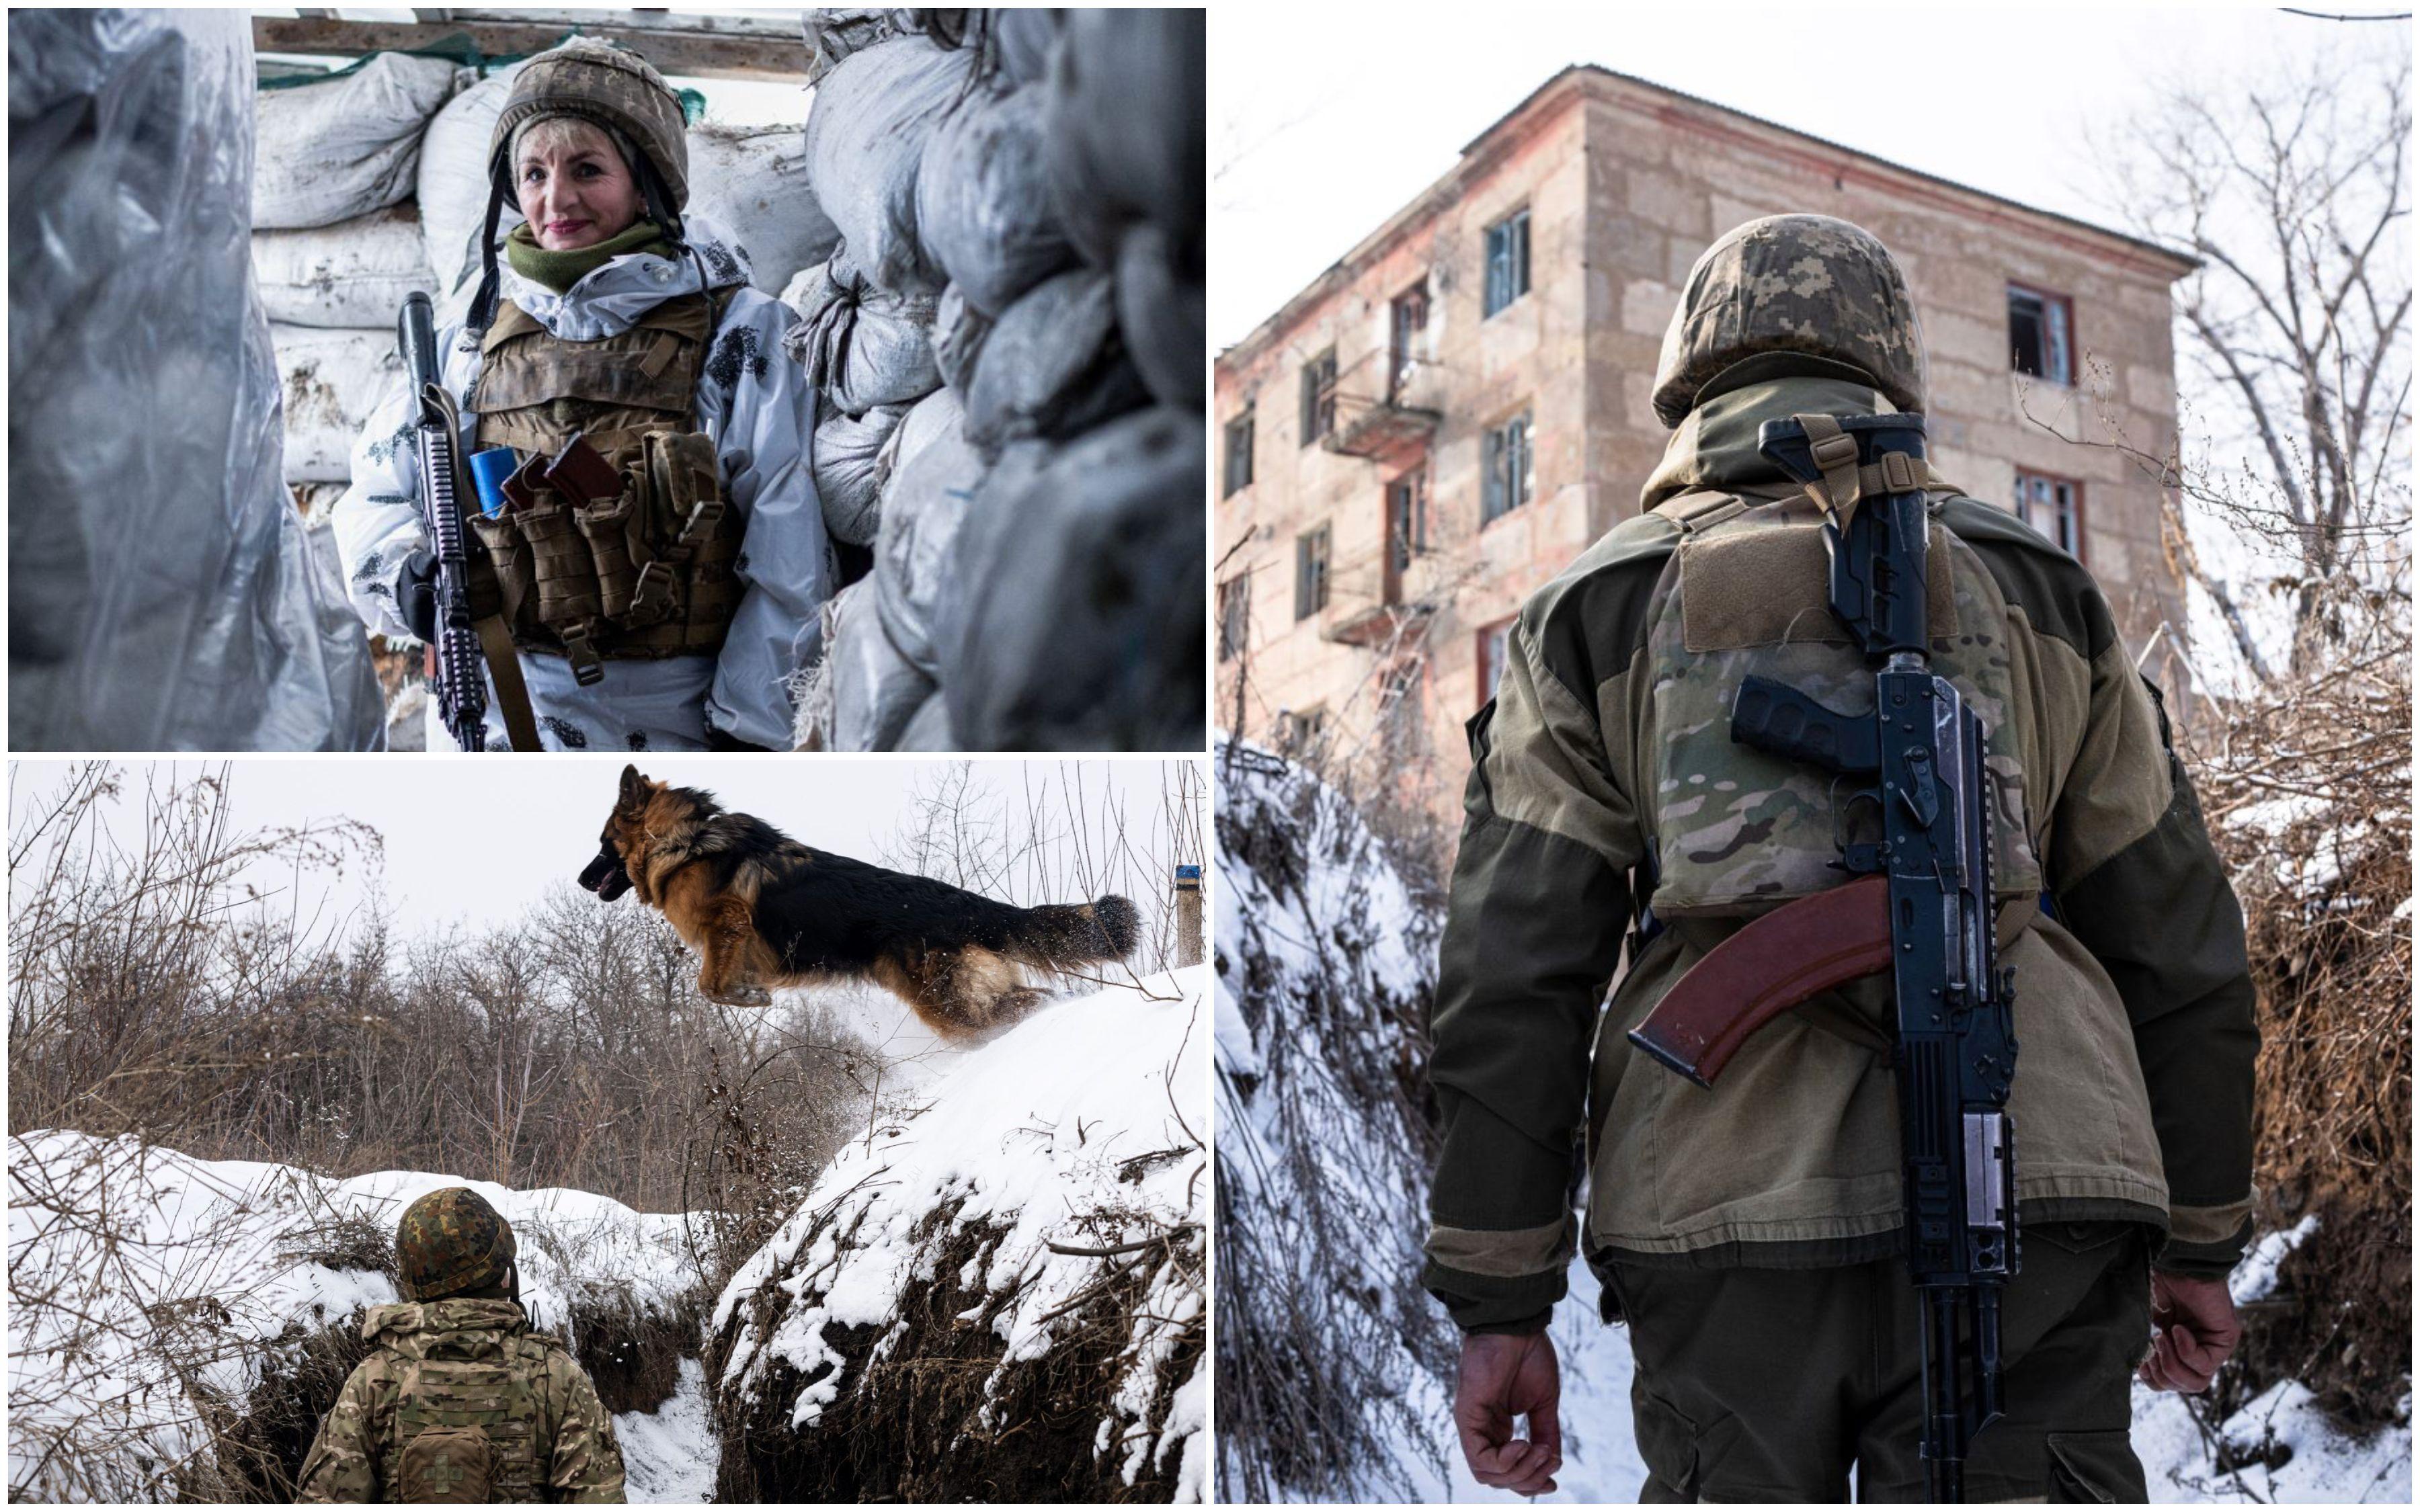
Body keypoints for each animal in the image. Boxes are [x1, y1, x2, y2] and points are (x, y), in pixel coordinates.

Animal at [578, 774, 1142, 1030]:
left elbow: (708, 984)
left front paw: (749, 998)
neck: (685, 842)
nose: (583, 880)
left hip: (946, 1004)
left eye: (604, 844)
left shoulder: (728, 920)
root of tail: (970, 906)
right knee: (1029, 999)